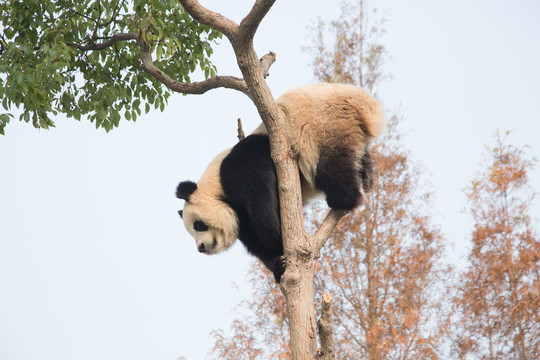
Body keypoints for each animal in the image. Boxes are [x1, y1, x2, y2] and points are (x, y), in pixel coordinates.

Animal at [176, 83, 384, 282]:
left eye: (198, 226)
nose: (201, 247)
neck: (216, 185)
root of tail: (361, 101)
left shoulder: (242, 170)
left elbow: (264, 210)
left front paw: (279, 239)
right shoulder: (238, 212)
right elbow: (254, 240)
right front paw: (278, 264)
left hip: (321, 124)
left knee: (328, 166)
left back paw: (343, 199)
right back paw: (366, 179)